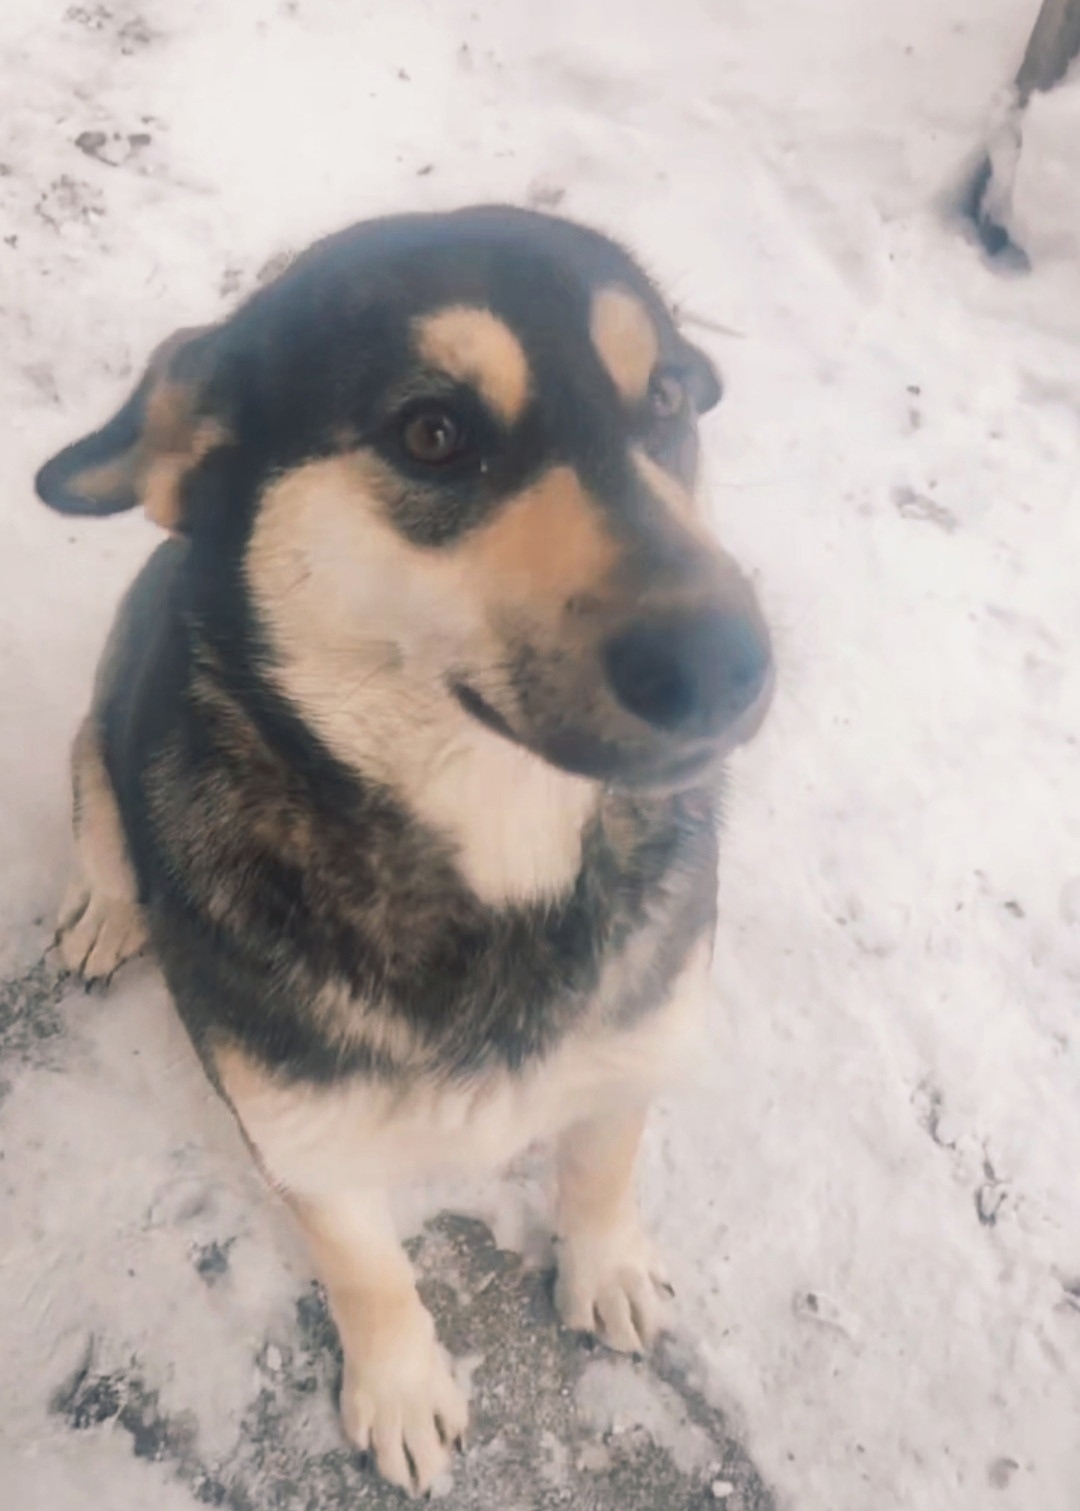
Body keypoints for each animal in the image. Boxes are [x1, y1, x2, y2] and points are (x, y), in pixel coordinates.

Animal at [35, 205, 772, 1495]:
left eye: (668, 398)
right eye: (433, 434)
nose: (731, 663)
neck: (500, 852)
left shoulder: (636, 1028)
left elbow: (604, 1158)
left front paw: (606, 1262)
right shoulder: (301, 1135)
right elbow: (368, 1270)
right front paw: (402, 1386)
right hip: (94, 754)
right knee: (106, 836)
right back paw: (106, 913)